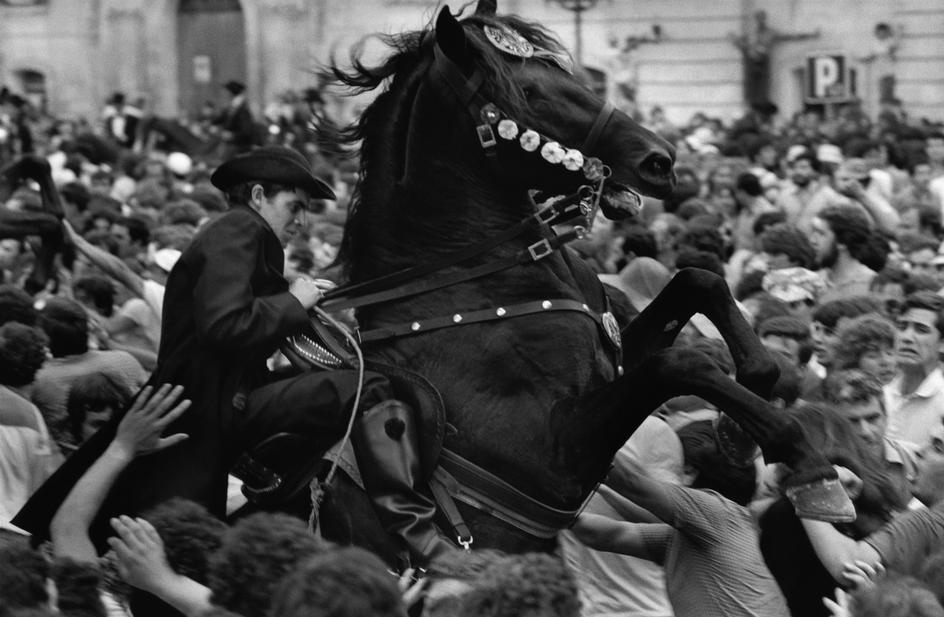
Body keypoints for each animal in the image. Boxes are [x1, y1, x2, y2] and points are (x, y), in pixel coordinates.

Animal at [314, 1, 852, 560]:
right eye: (529, 92)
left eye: (569, 76)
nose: (660, 161)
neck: (463, 281)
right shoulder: (556, 455)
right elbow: (682, 363)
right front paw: (806, 462)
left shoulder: (612, 365)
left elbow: (698, 280)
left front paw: (753, 402)